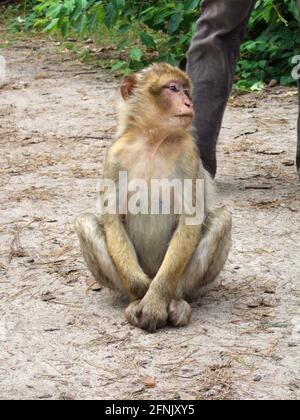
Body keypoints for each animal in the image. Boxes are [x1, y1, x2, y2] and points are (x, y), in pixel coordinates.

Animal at [75, 63, 232, 332]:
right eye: (173, 88)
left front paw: (155, 301)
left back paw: (175, 301)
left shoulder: (188, 154)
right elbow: (113, 220)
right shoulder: (114, 156)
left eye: (186, 90)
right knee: (85, 222)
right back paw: (136, 299)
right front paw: (143, 291)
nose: (189, 103)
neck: (153, 139)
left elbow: (189, 221)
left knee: (222, 219)